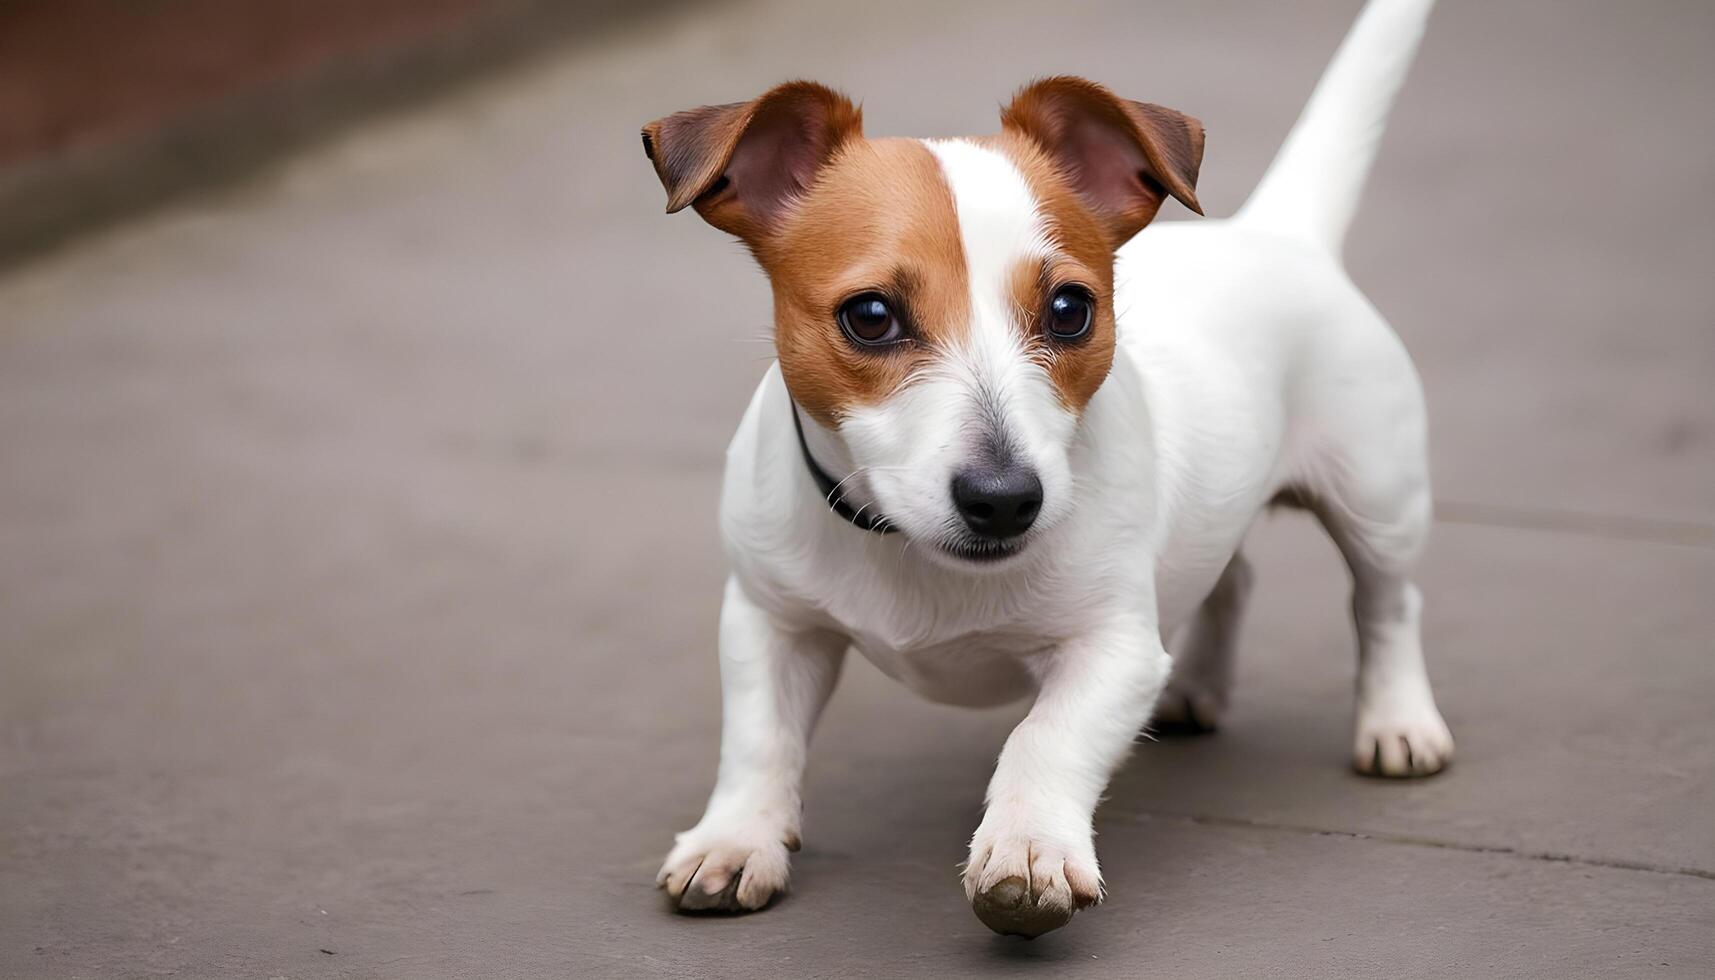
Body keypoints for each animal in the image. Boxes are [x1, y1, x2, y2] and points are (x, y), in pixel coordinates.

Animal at [641, 0, 1447, 940]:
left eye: (1069, 309)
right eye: (869, 316)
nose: (1003, 501)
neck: (910, 552)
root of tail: (1276, 231)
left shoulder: (1113, 649)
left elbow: (1044, 737)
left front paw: (1026, 848)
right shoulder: (768, 619)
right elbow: (758, 738)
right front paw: (736, 838)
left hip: (1376, 495)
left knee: (1385, 603)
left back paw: (1398, 721)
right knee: (1230, 578)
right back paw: (1197, 686)